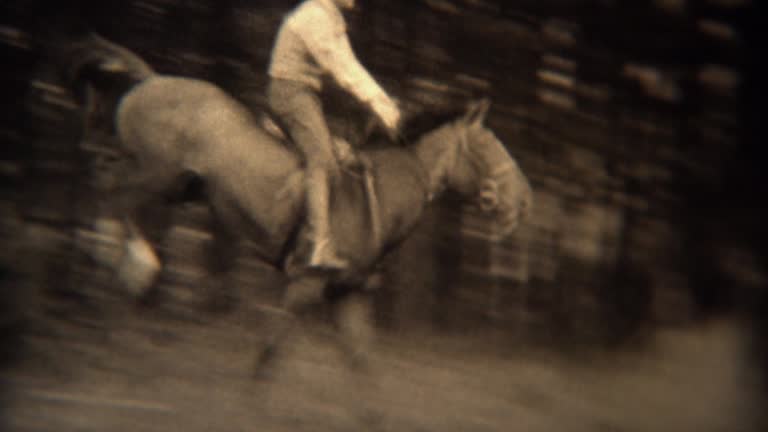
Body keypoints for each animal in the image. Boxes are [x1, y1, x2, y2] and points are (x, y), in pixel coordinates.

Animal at [63, 33, 532, 398]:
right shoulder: (306, 284)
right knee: (110, 192)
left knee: (106, 184)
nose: (524, 201)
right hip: (155, 175)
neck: (374, 197)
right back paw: (131, 261)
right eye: (489, 147)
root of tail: (147, 81)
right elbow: (271, 351)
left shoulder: (348, 295)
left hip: (179, 185)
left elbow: (363, 366)